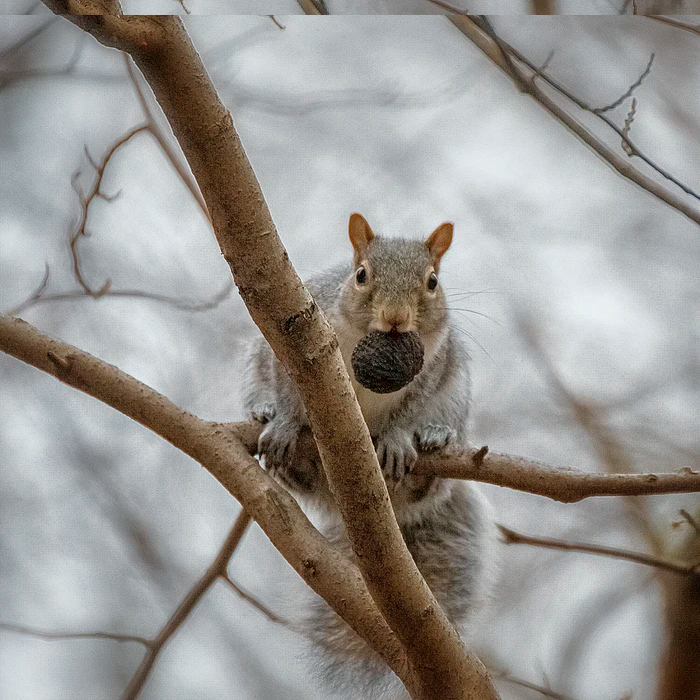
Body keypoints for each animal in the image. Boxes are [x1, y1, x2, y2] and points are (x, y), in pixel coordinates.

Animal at [243, 213, 496, 700]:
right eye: (360, 275)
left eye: (433, 282)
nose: (396, 318)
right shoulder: (286, 351)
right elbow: (287, 391)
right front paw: (283, 422)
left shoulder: (434, 369)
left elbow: (411, 408)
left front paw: (399, 439)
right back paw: (281, 444)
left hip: (455, 400)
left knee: (432, 471)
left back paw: (433, 447)